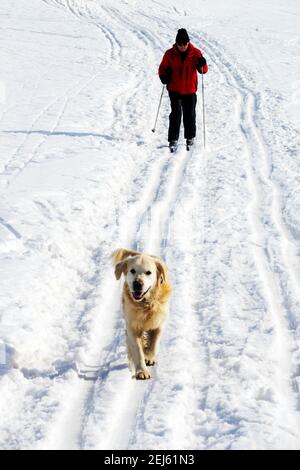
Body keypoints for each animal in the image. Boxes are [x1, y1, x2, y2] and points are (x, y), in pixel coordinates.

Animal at [112, 248, 171, 380]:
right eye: (132, 271)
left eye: (148, 272)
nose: (137, 284)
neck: (145, 304)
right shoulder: (132, 327)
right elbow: (138, 351)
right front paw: (141, 371)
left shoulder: (159, 324)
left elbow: (154, 346)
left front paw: (148, 357)